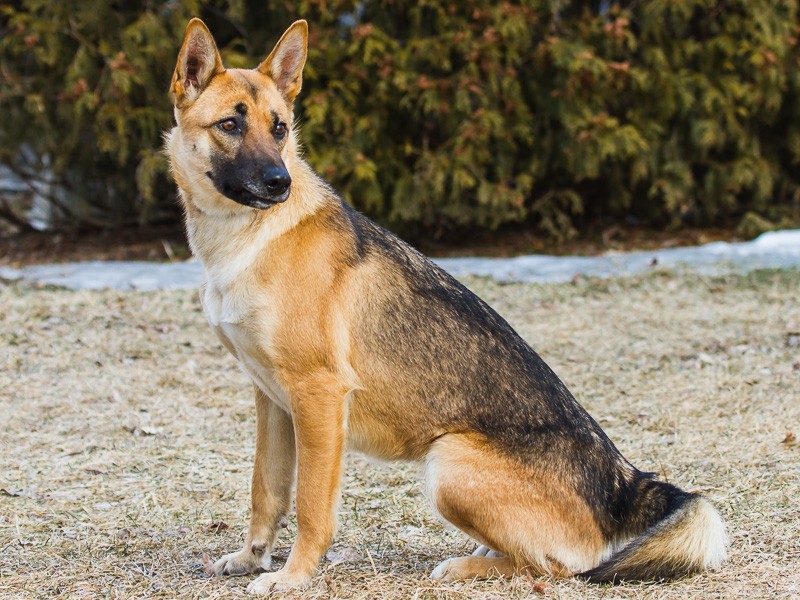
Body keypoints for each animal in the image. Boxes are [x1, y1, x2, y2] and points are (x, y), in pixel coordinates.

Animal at [166, 18, 728, 596]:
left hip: (448, 461)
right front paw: (251, 558)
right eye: (230, 124)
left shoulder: (317, 398)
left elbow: (310, 505)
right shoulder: (273, 401)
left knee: (556, 566)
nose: (280, 182)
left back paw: (465, 566)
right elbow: (266, 491)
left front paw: (294, 576)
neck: (247, 238)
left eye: (279, 128)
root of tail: (623, 482)